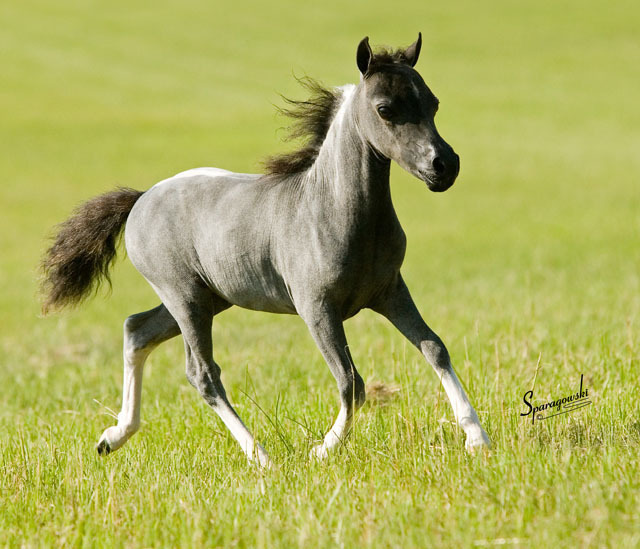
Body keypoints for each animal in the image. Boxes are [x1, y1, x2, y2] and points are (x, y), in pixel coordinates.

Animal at [40, 34, 490, 467]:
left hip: (209, 298)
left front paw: (477, 439)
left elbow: (435, 348)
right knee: (202, 374)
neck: (331, 208)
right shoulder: (317, 309)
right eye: (385, 109)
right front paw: (323, 450)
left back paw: (113, 437)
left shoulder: (390, 291)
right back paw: (261, 458)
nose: (444, 165)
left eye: (432, 102)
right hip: (185, 297)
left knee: (137, 330)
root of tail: (141, 198)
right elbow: (351, 381)